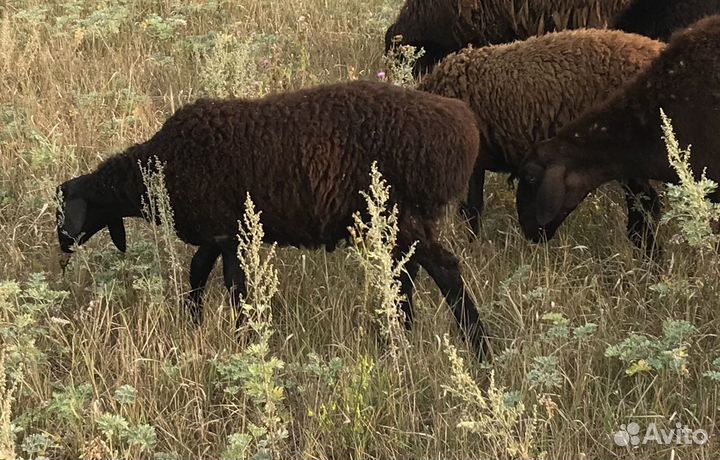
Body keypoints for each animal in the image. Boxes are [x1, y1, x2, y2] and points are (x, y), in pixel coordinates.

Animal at [56, 81, 490, 358]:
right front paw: (193, 323)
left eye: (65, 209)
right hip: (401, 224)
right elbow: (197, 273)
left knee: (445, 270)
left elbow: (234, 288)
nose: (61, 248)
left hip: (400, 216)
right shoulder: (218, 235)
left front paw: (243, 339)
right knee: (406, 275)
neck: (158, 169)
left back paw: (478, 348)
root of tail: (463, 127)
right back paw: (402, 337)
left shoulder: (227, 234)